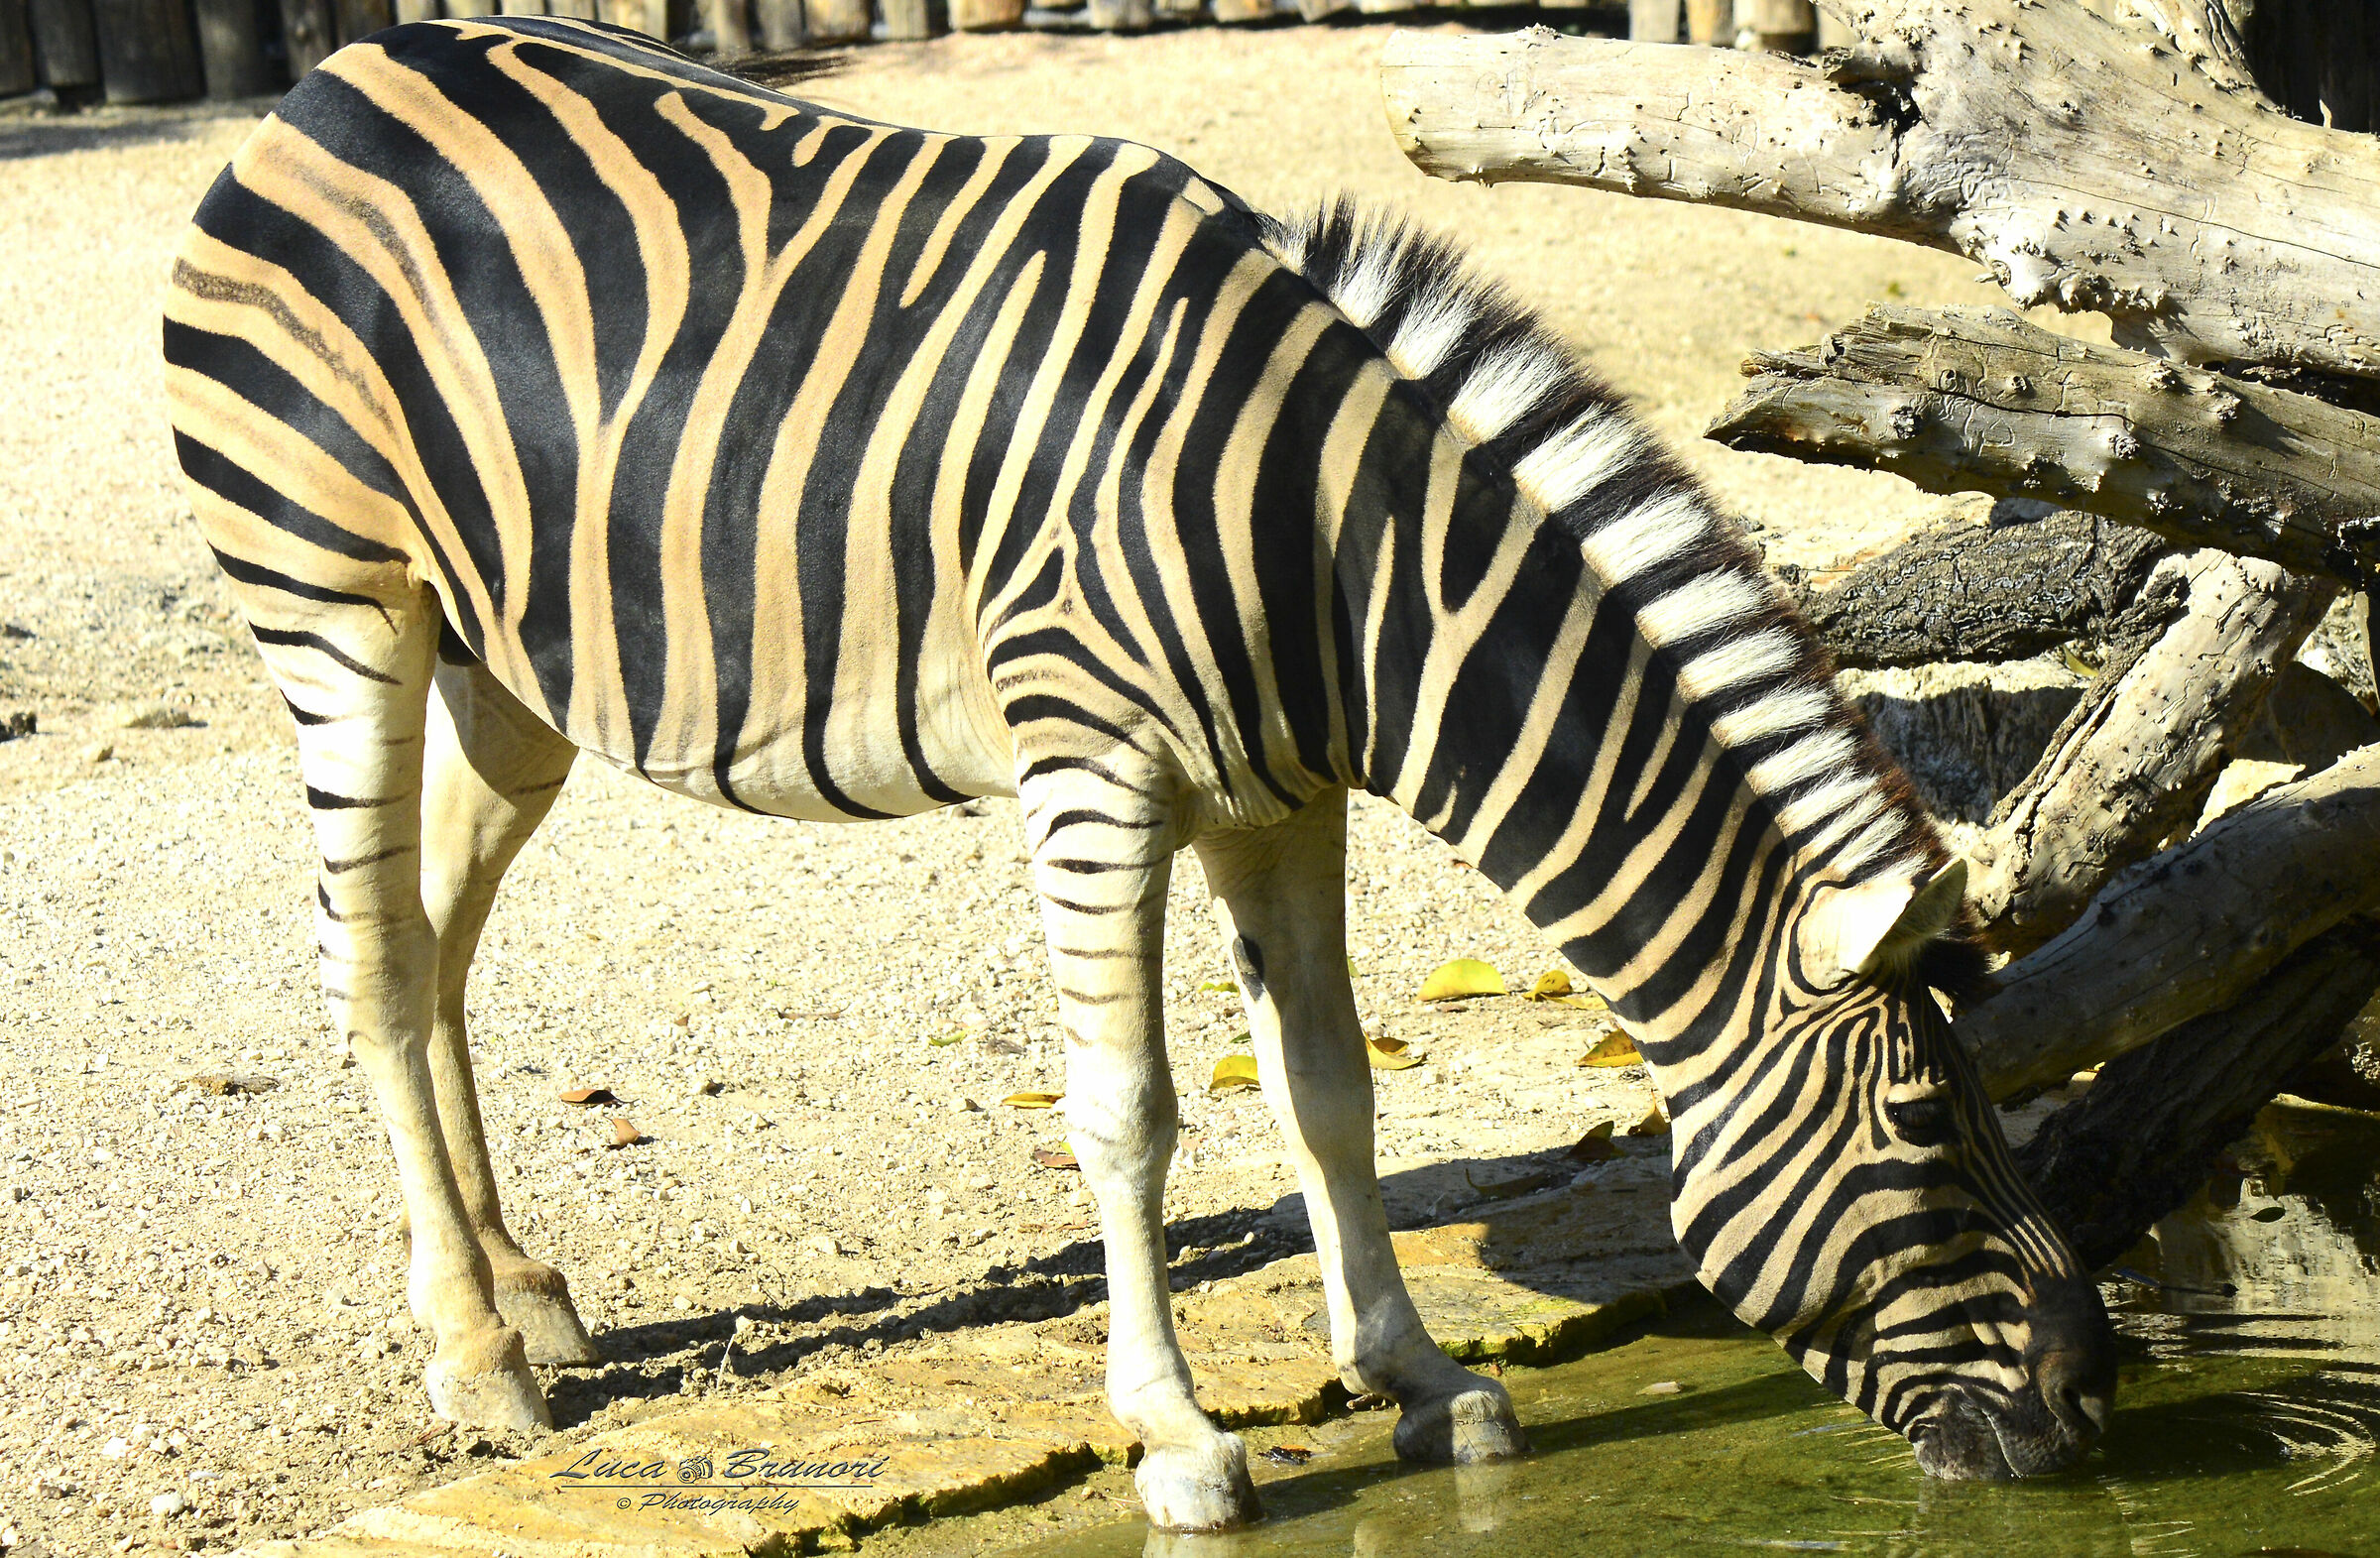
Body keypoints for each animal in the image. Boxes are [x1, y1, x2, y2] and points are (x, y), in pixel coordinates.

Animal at [162, 16, 2115, 1530]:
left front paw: (1415, 1378)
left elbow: (1329, 1087)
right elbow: (1128, 1107)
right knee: (371, 955)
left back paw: (520, 1288)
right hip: (337, 607)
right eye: (1925, 1124)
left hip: (514, 665)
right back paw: (476, 1357)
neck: (1337, 553)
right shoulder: (1089, 766)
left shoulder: (1284, 793)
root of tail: (335, 72)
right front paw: (1175, 1435)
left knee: (435, 940)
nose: (2095, 1396)